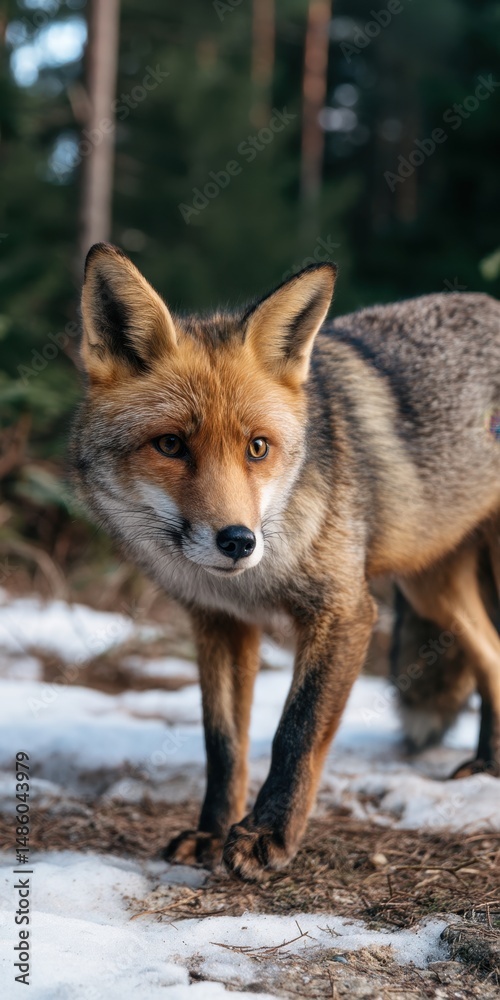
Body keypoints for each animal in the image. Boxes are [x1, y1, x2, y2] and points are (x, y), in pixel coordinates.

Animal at [71, 242, 500, 882]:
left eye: (257, 448)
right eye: (171, 445)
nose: (237, 541)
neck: (254, 582)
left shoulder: (346, 611)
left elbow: (295, 731)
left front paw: (268, 835)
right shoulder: (219, 622)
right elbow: (223, 744)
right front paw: (211, 832)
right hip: (433, 589)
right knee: (491, 654)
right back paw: (487, 765)